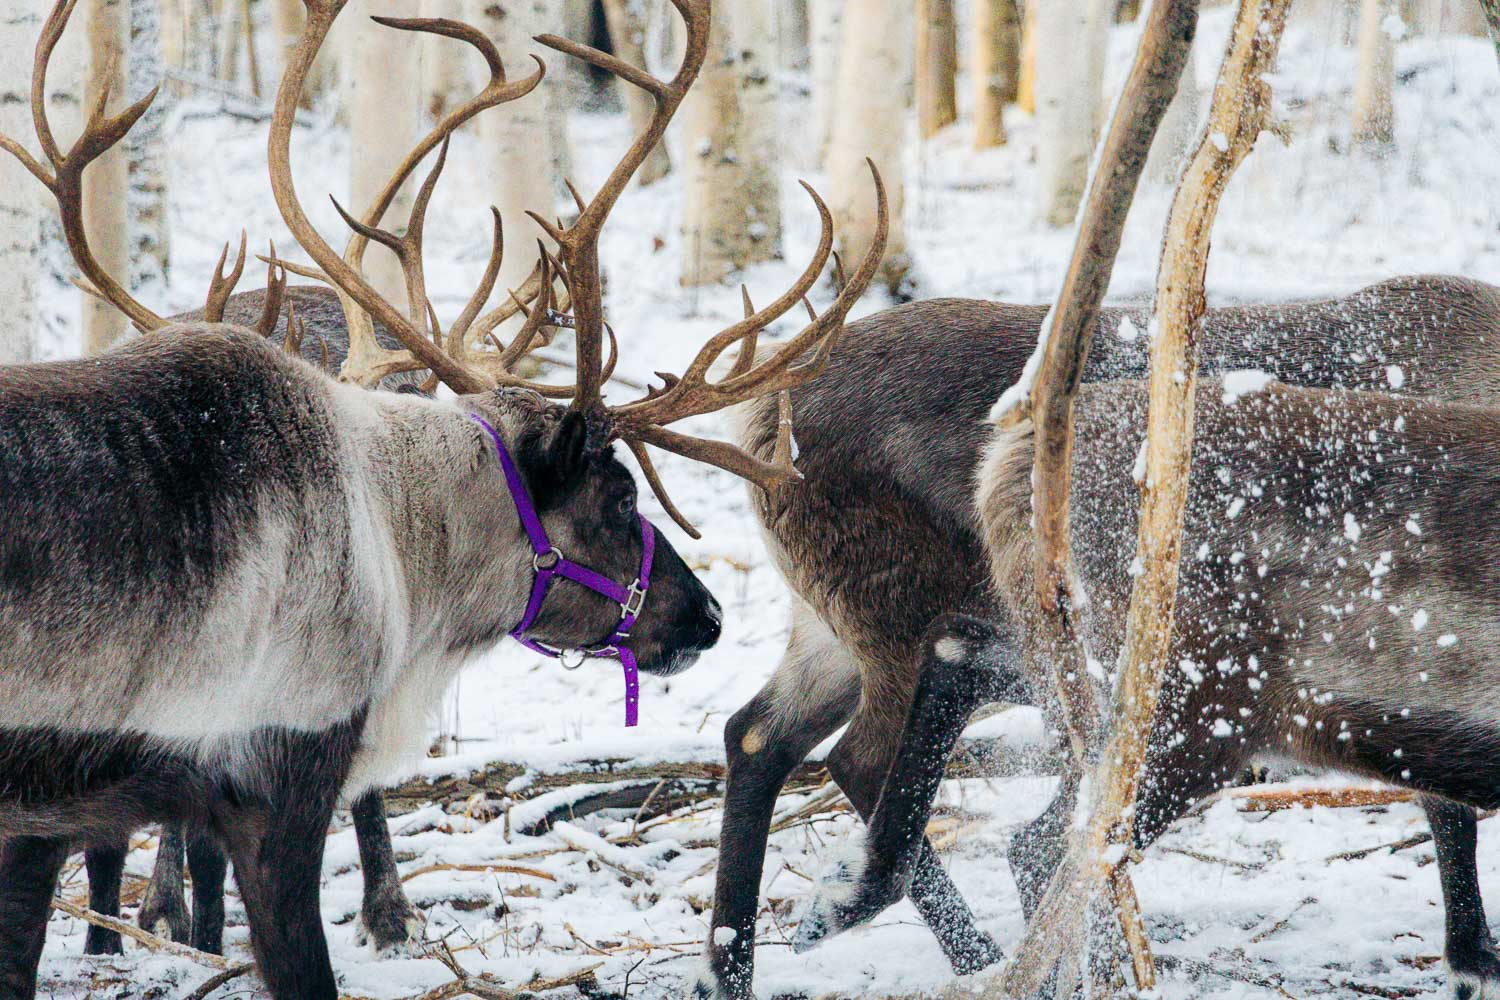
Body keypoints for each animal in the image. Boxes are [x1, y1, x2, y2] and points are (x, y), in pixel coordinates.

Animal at [696, 279, 1500, 998]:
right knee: (869, 763)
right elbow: (1448, 810)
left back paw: (732, 968)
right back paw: (978, 957)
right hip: (912, 621)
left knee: (758, 735)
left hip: (848, 629)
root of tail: (759, 415)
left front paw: (1470, 961)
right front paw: (1472, 963)